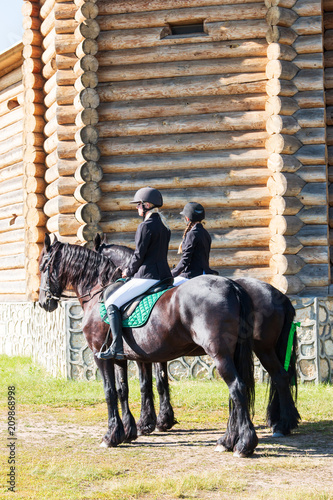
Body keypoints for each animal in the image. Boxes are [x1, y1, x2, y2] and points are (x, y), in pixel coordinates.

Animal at [38, 234, 256, 458]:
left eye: (43, 266)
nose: (43, 302)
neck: (98, 292)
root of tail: (232, 286)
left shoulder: (101, 355)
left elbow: (111, 391)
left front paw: (112, 436)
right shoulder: (123, 357)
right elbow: (125, 389)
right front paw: (129, 430)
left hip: (219, 354)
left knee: (237, 389)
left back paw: (243, 444)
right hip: (231, 354)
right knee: (235, 393)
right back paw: (228, 440)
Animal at [94, 234, 300, 438]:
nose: (101, 290)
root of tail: (279, 295)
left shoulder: (143, 353)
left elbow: (149, 384)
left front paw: (149, 423)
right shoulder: (153, 353)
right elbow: (158, 381)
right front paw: (159, 421)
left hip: (257, 348)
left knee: (265, 380)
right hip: (265, 349)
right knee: (280, 377)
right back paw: (281, 423)